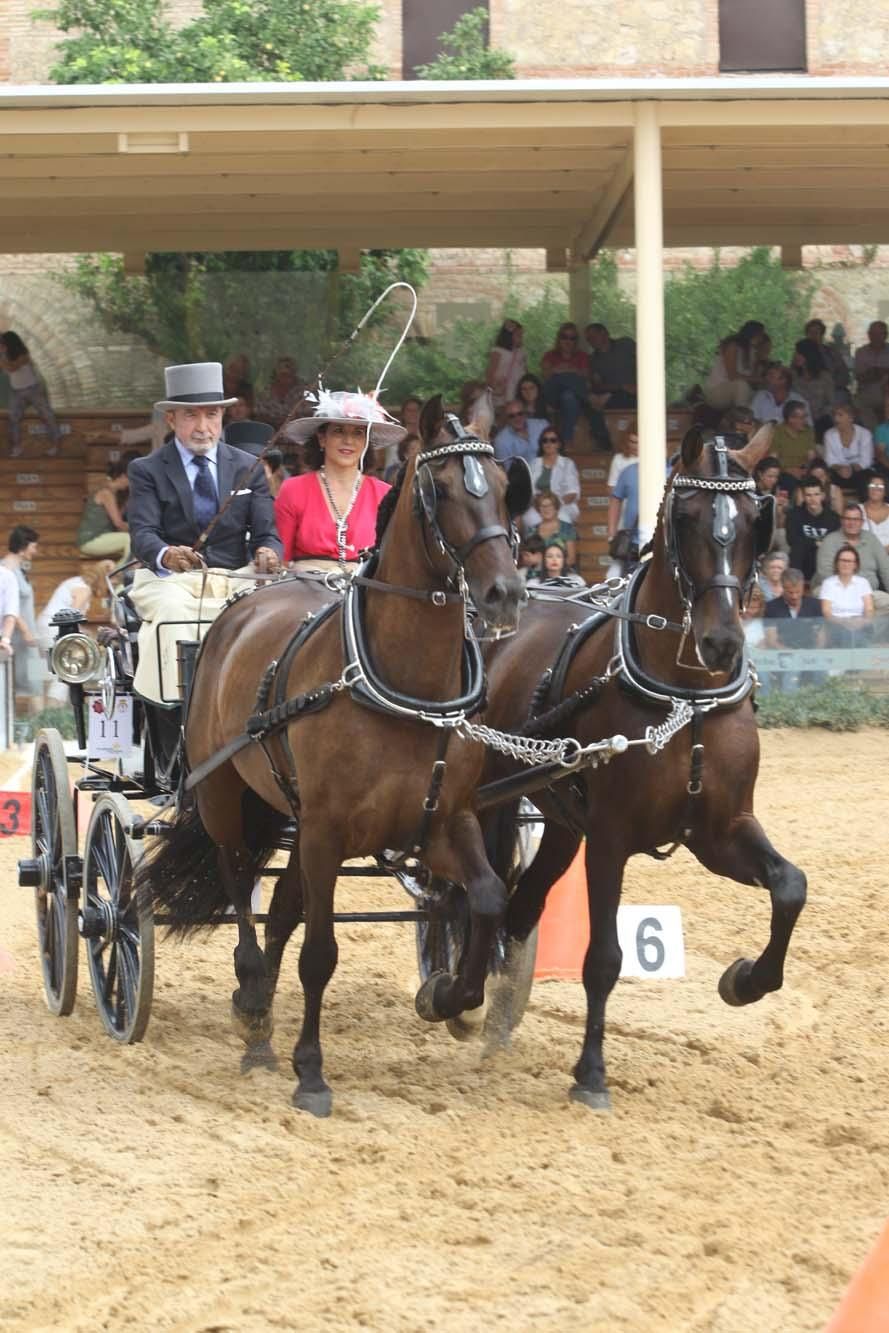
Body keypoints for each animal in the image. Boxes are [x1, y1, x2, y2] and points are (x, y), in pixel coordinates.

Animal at [137, 397, 527, 1114]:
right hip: (225, 797)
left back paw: (258, 1011)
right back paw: (253, 1007)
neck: (406, 685)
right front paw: (311, 1072)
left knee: (282, 907)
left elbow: (485, 897)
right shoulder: (325, 830)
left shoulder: (442, 820)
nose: (504, 594)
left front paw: (448, 997)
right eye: (441, 489)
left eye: (504, 485)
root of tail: (242, 606)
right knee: (239, 882)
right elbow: (320, 952)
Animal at [479, 423, 805, 1103]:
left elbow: (790, 886)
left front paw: (744, 980)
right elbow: (604, 956)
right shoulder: (610, 837)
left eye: (756, 520)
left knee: (521, 904)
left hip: (560, 822)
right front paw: (591, 1073)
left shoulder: (719, 831)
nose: (722, 642)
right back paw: (455, 991)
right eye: (686, 518)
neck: (687, 699)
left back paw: (492, 1018)